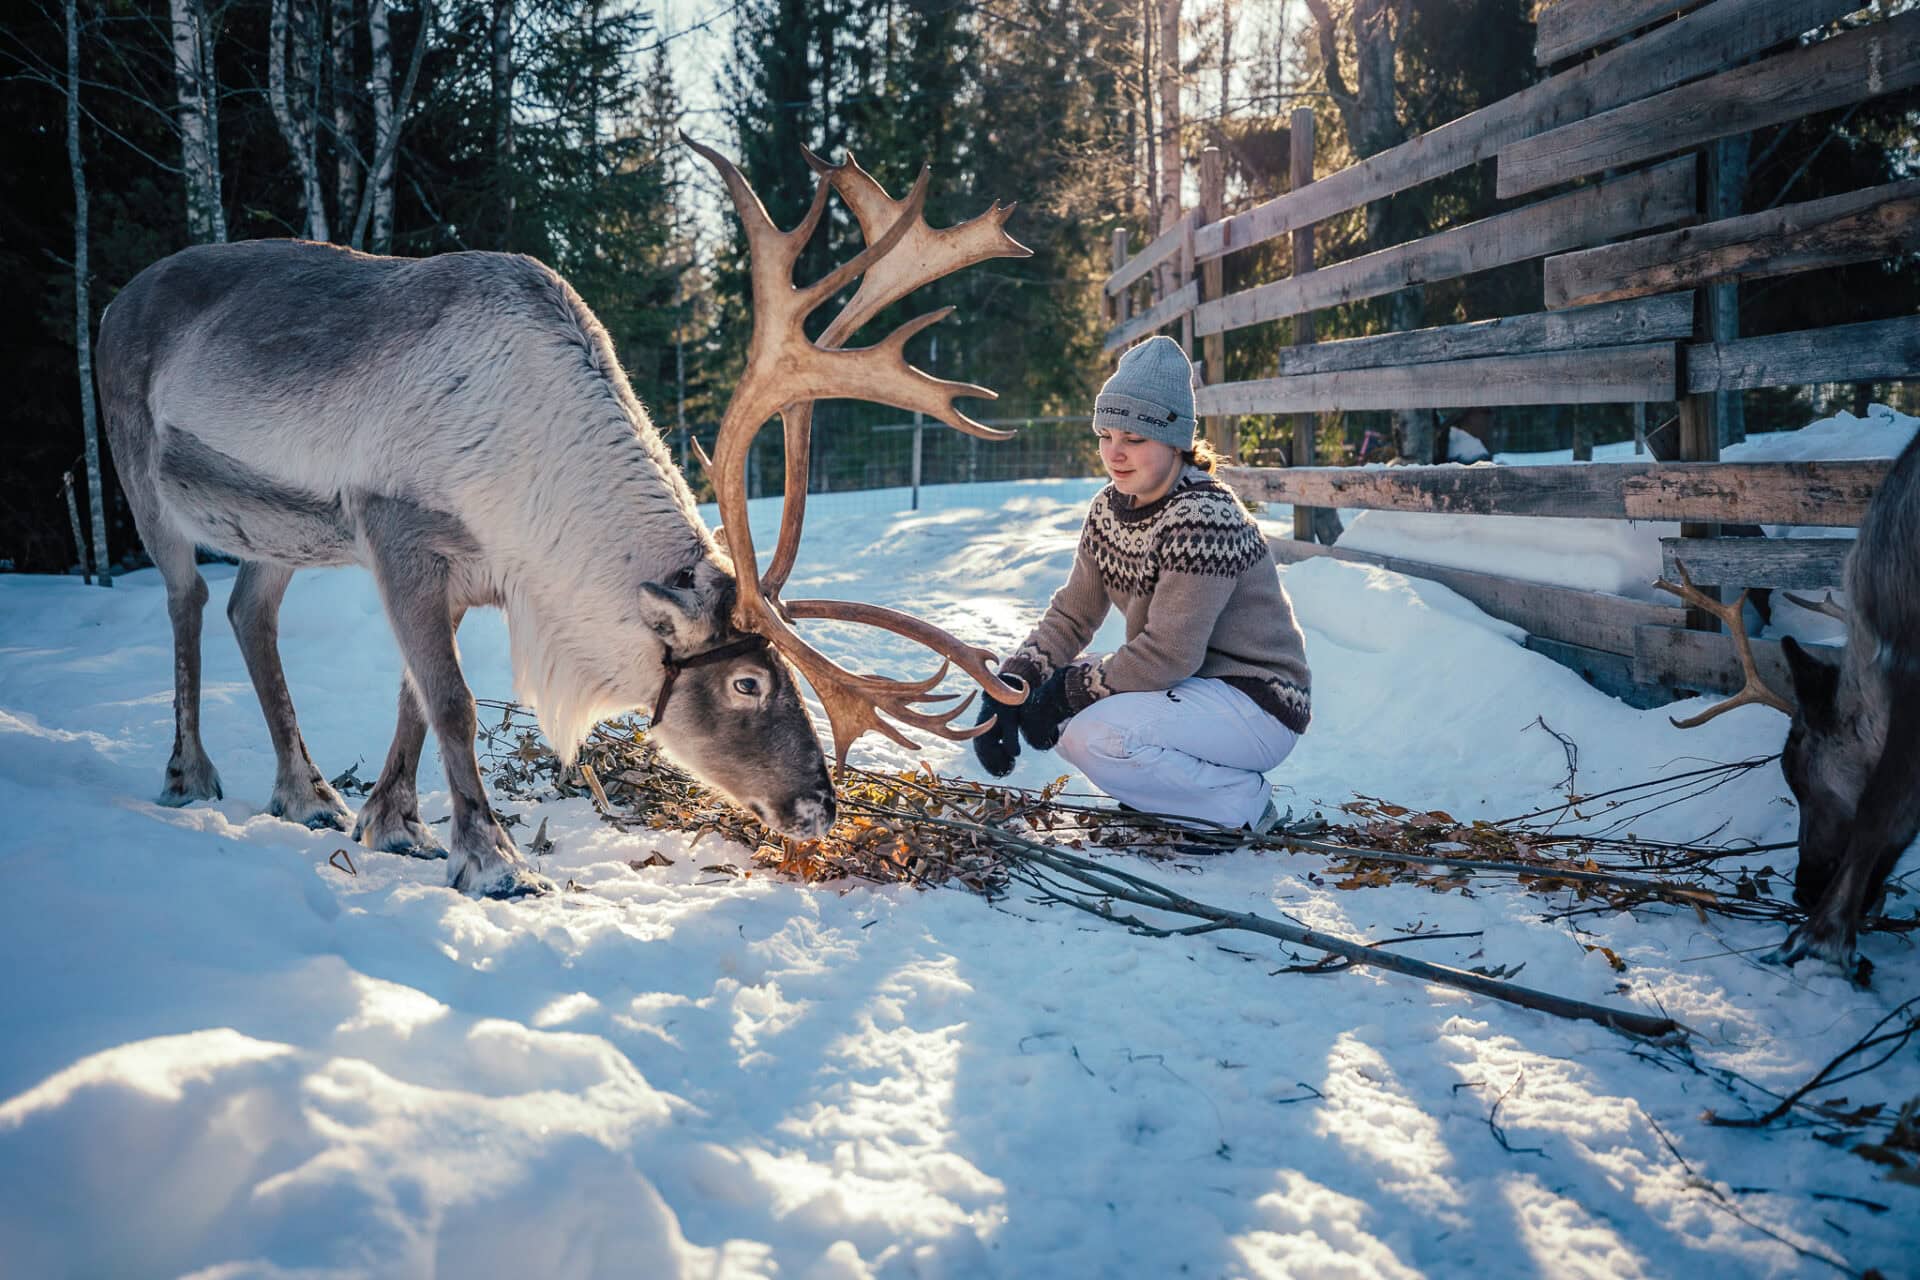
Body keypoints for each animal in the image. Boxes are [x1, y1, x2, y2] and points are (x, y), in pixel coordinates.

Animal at [95, 139, 1029, 898]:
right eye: (748, 682)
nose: (819, 806)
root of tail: (112, 301)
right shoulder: (399, 535)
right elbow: (453, 701)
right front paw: (492, 860)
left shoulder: (466, 572)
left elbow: (413, 700)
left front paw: (393, 824)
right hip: (138, 461)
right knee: (186, 602)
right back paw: (190, 773)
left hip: (278, 530)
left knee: (248, 611)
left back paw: (309, 794)